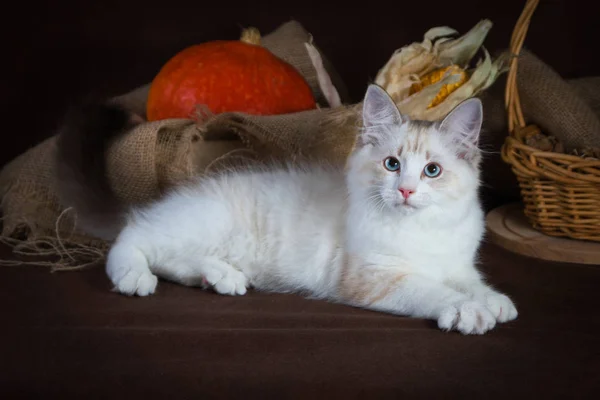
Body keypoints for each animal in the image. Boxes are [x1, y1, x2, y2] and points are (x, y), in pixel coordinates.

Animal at [97, 84, 516, 334]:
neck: (421, 230)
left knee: (173, 259)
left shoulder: (456, 262)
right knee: (134, 240)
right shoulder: (374, 278)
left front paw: (494, 301)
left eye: (432, 171)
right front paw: (467, 310)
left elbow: (469, 281)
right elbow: (432, 290)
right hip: (202, 223)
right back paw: (136, 277)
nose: (406, 191)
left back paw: (220, 277)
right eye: (392, 164)